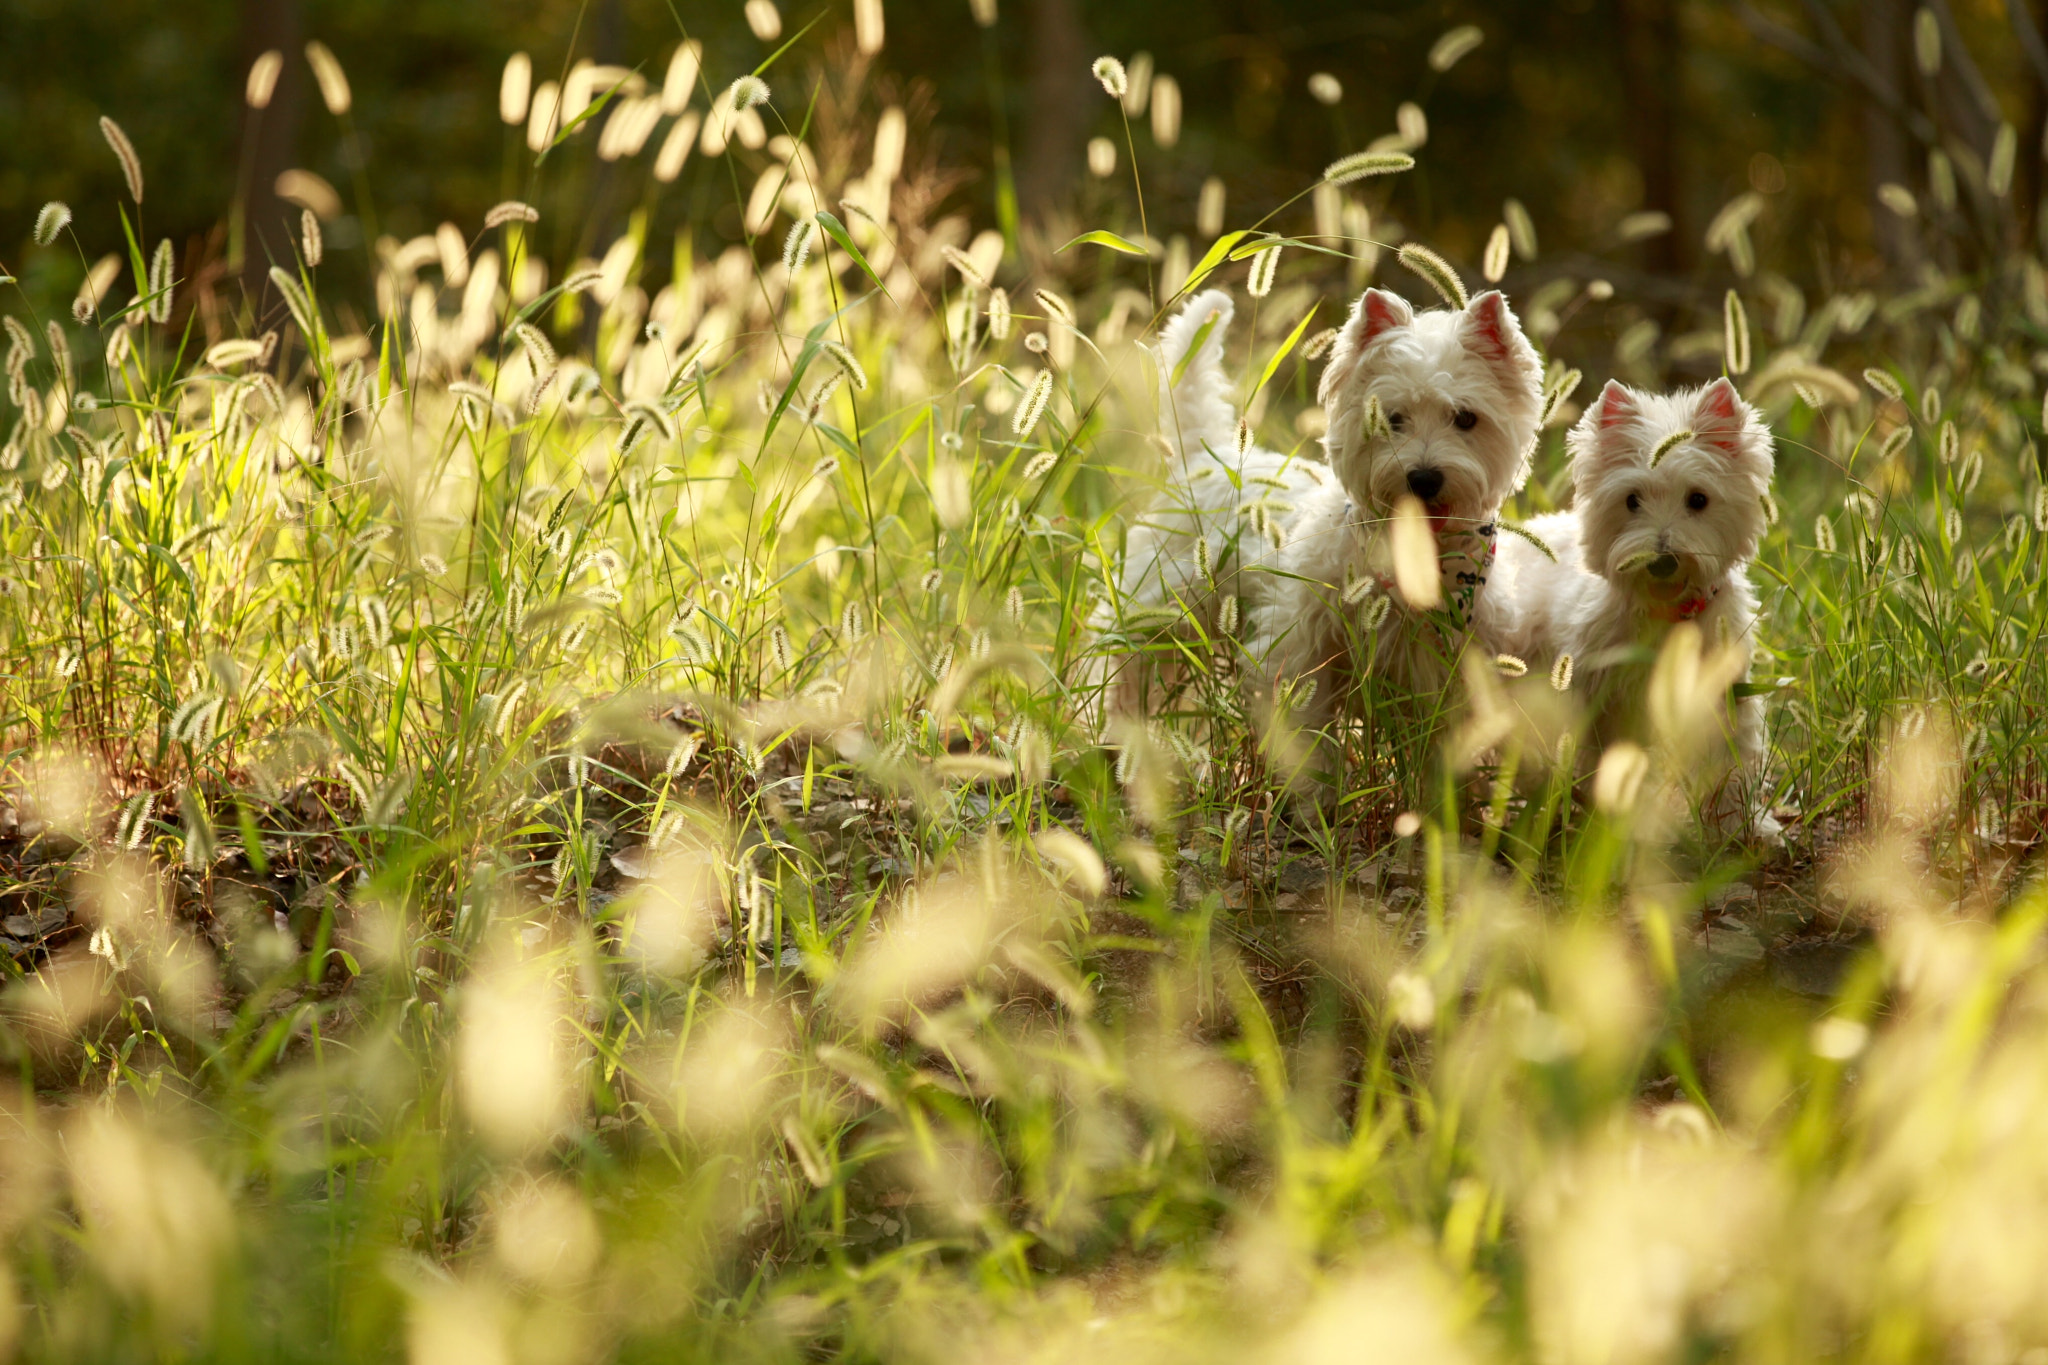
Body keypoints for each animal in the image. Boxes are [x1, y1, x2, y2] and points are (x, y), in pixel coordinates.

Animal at [1097, 286, 1540, 777]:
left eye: (1465, 418)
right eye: (1391, 418)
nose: (1423, 478)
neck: (1416, 563)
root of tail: (1199, 459)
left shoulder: (1453, 669)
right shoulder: (1297, 649)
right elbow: (1304, 730)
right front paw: (1314, 790)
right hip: (1162, 603)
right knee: (1121, 661)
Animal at [1482, 378, 1785, 839]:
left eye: (1698, 499)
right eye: (1631, 500)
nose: (1662, 560)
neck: (1667, 611)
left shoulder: (1721, 691)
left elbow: (1730, 759)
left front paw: (1744, 827)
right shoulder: (1599, 694)